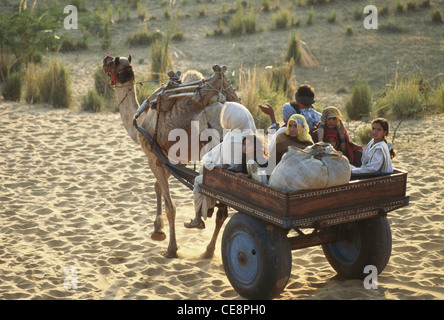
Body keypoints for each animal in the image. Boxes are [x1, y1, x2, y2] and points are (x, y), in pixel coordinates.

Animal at [102, 55, 241, 258]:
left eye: (113, 62)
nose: (105, 60)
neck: (139, 121)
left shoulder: (153, 157)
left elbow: (171, 207)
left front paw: (171, 248)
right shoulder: (172, 159)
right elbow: (157, 187)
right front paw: (157, 230)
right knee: (222, 211)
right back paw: (208, 250)